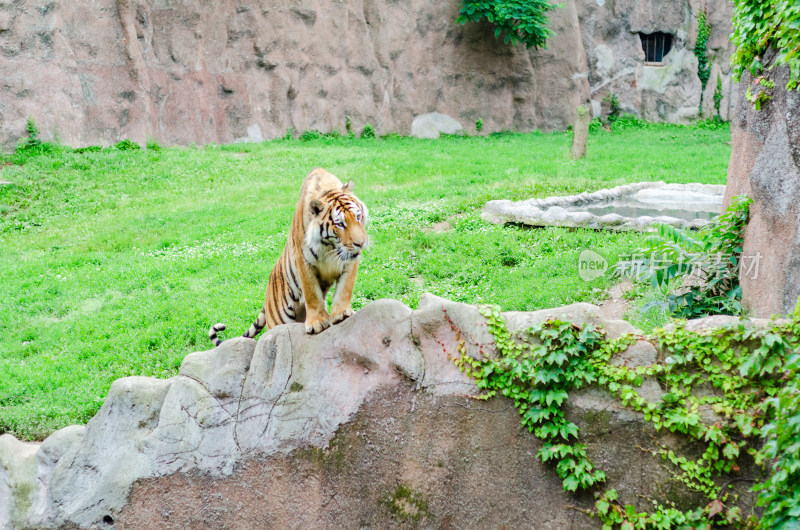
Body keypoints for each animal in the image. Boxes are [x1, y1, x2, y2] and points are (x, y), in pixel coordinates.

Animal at [206, 167, 368, 344]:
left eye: (358, 217)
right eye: (340, 224)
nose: (361, 243)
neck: (330, 247)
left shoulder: (350, 261)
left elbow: (345, 287)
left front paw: (341, 313)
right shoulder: (303, 259)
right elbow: (312, 294)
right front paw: (317, 323)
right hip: (279, 319)